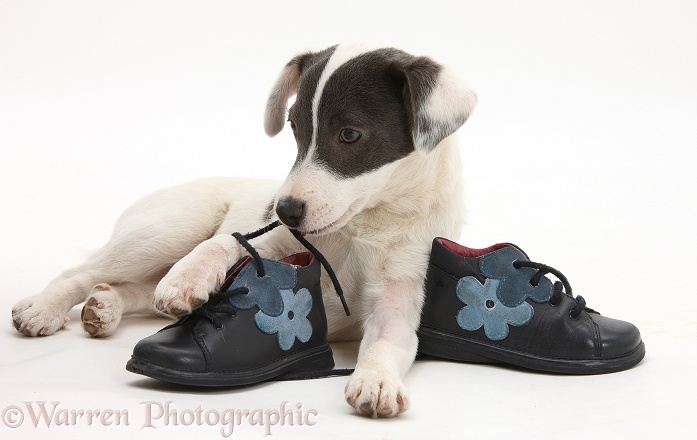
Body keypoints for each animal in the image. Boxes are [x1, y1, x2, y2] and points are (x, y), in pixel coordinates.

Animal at [12, 43, 478, 418]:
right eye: (294, 129)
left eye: (349, 134)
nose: (284, 209)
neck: (360, 228)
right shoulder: (273, 243)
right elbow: (224, 242)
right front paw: (188, 278)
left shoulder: (397, 298)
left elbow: (387, 342)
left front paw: (377, 380)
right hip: (167, 230)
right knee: (86, 271)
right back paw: (44, 308)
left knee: (135, 289)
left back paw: (106, 305)